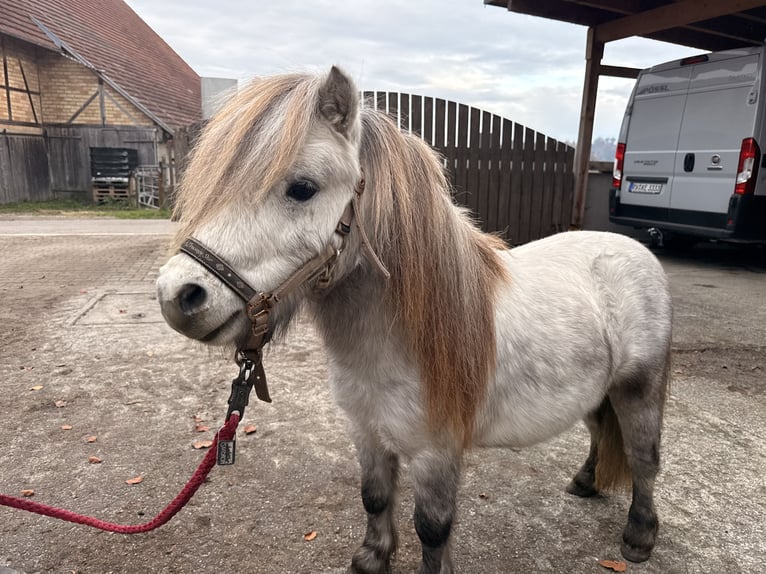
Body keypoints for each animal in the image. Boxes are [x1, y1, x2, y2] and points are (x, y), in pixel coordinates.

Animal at [156, 66, 672, 573]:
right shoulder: (366, 433)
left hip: (638, 390)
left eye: (302, 188)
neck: (402, 339)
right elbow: (374, 496)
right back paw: (585, 481)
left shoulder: (435, 453)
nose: (177, 296)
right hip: (598, 390)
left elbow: (432, 529)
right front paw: (372, 558)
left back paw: (639, 537)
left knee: (643, 458)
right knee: (601, 431)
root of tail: (633, 250)